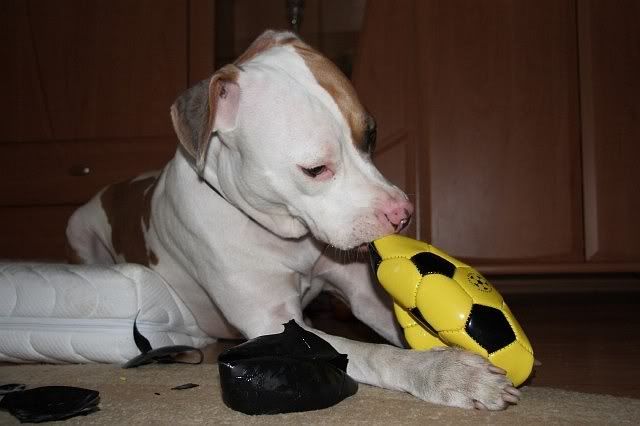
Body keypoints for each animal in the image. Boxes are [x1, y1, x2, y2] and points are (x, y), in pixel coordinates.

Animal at [66, 30, 520, 410]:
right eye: (315, 169)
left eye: (371, 135)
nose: (403, 214)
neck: (285, 235)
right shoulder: (272, 323)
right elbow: (374, 352)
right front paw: (446, 373)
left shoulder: (361, 292)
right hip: (78, 228)